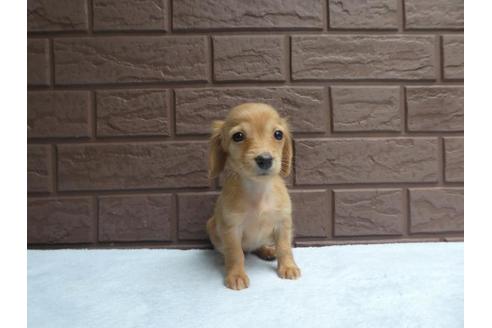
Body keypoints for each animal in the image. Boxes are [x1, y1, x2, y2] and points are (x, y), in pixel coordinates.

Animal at [205, 102, 300, 290]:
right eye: (238, 136)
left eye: (278, 134)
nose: (265, 159)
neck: (259, 190)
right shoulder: (231, 229)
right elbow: (235, 254)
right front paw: (236, 275)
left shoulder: (283, 223)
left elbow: (284, 247)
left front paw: (288, 267)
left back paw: (268, 250)